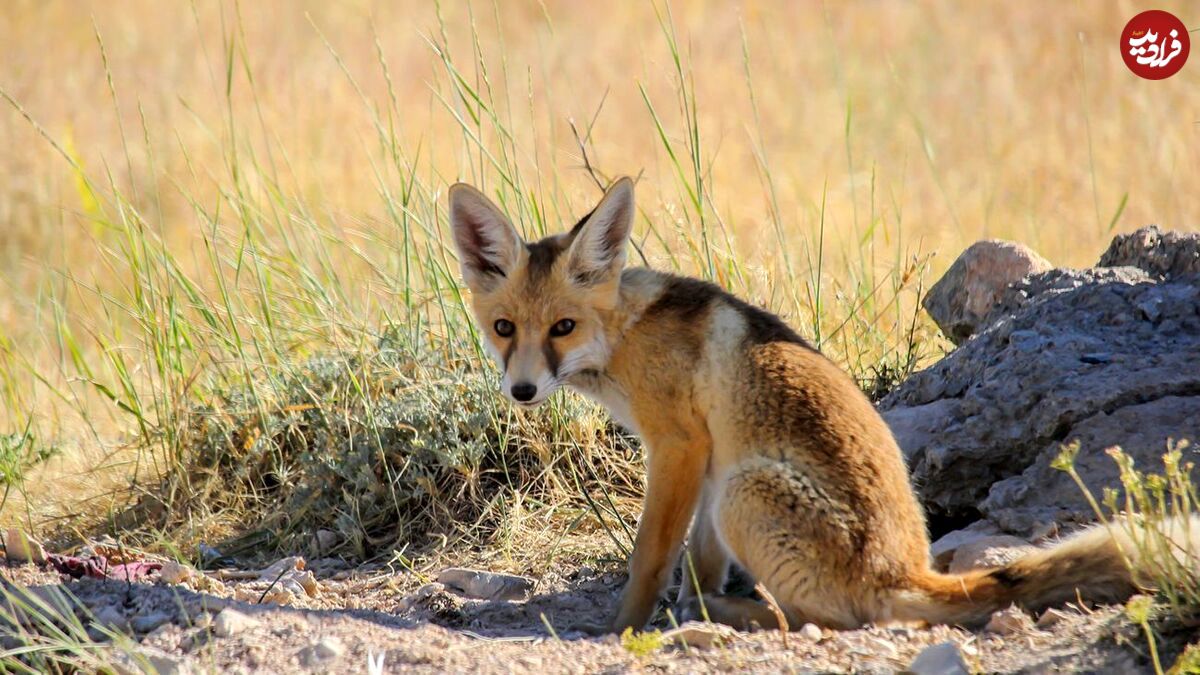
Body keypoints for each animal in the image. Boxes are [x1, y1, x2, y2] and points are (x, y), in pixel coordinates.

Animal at [448, 176, 1190, 634]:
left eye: (563, 328)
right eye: (505, 328)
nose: (521, 391)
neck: (627, 335)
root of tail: (907, 569)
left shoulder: (680, 447)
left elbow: (650, 558)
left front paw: (620, 629)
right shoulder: (709, 460)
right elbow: (696, 563)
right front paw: (684, 604)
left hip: (746, 492)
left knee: (816, 620)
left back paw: (733, 616)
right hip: (734, 489)